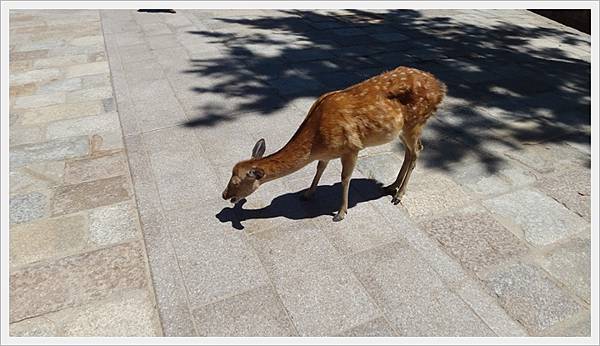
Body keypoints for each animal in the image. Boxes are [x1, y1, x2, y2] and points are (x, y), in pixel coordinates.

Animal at [220, 66, 446, 220]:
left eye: (237, 181)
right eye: (230, 173)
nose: (224, 194)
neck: (316, 141)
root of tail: (440, 87)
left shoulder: (352, 148)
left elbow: (345, 178)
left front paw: (341, 212)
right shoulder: (327, 153)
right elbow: (320, 168)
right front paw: (307, 193)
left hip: (415, 122)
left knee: (417, 151)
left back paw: (399, 194)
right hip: (402, 129)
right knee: (408, 152)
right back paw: (391, 186)